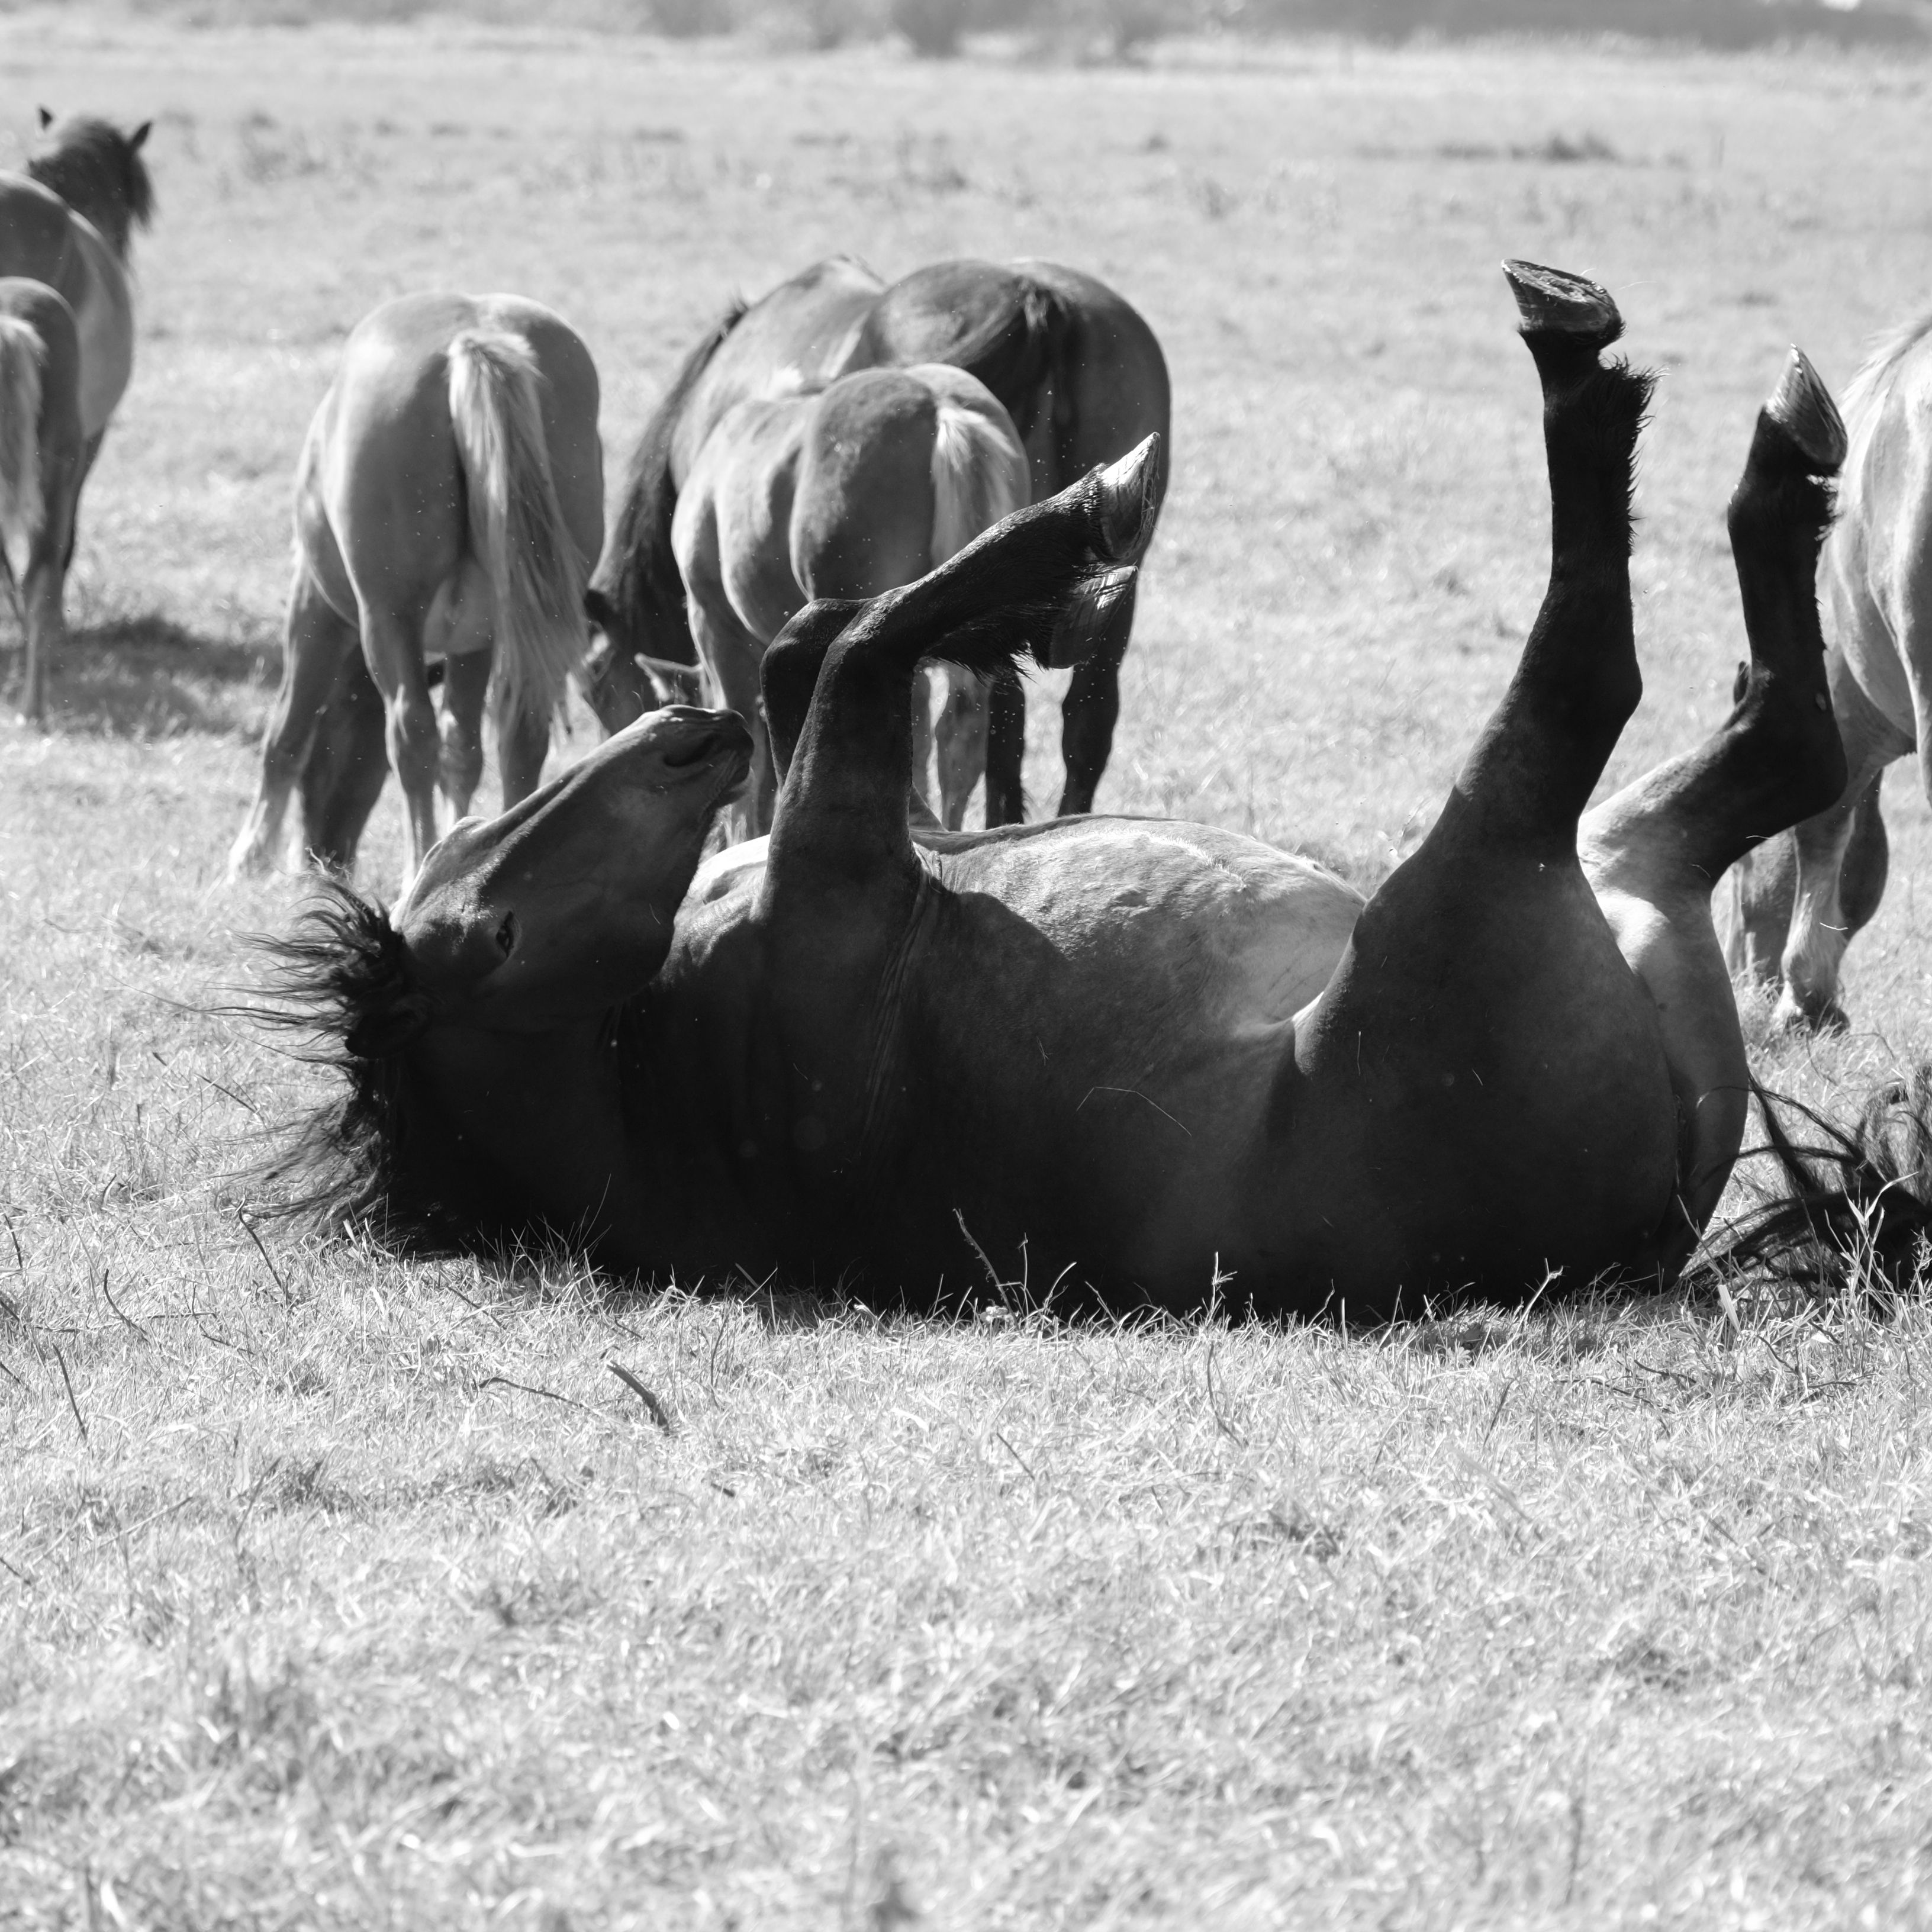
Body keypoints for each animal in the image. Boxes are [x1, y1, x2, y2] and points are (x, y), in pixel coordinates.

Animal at [225, 292, 603, 886]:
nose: (321, 857)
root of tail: (473, 340)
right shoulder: (475, 640)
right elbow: (463, 750)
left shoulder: (316, 606)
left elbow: (288, 728)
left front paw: (251, 855)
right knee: (519, 735)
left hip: (388, 617)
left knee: (410, 735)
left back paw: (414, 872)